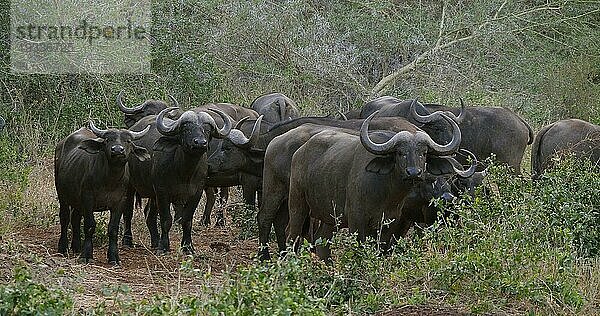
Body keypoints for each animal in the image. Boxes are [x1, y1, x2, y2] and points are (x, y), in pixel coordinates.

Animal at [54, 121, 150, 264]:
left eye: (128, 141)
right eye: (107, 140)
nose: (117, 150)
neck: (109, 180)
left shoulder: (120, 202)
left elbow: (113, 228)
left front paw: (114, 257)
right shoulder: (87, 199)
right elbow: (89, 226)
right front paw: (86, 255)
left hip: (77, 201)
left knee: (75, 218)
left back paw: (76, 247)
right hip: (62, 194)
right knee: (65, 218)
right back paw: (63, 248)